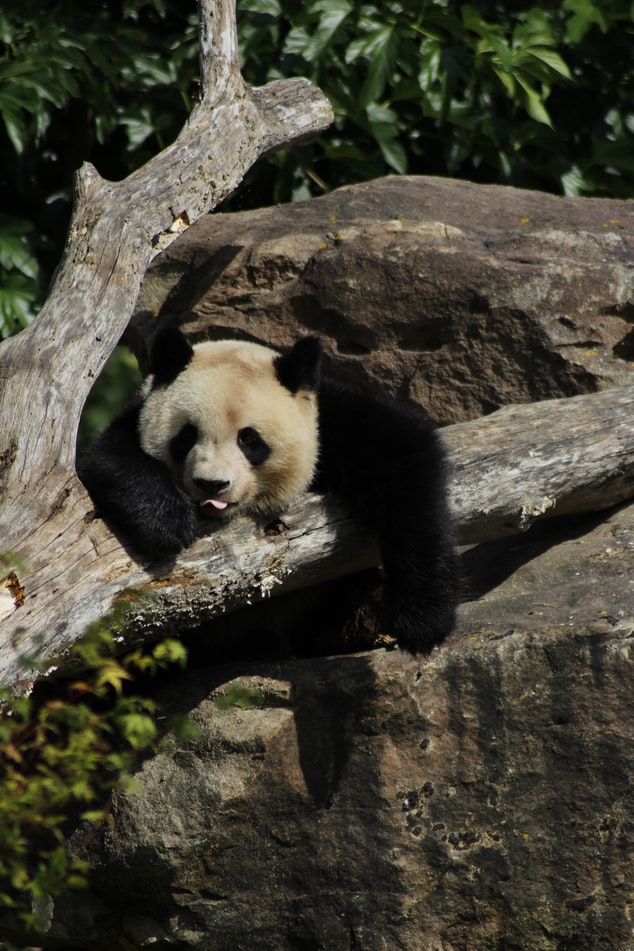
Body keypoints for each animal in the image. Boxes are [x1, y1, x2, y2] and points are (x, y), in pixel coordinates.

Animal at [78, 327, 459, 654]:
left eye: (249, 439)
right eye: (187, 435)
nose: (212, 484)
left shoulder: (328, 424)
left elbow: (404, 460)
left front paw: (422, 622)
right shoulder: (130, 421)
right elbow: (105, 460)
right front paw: (166, 522)